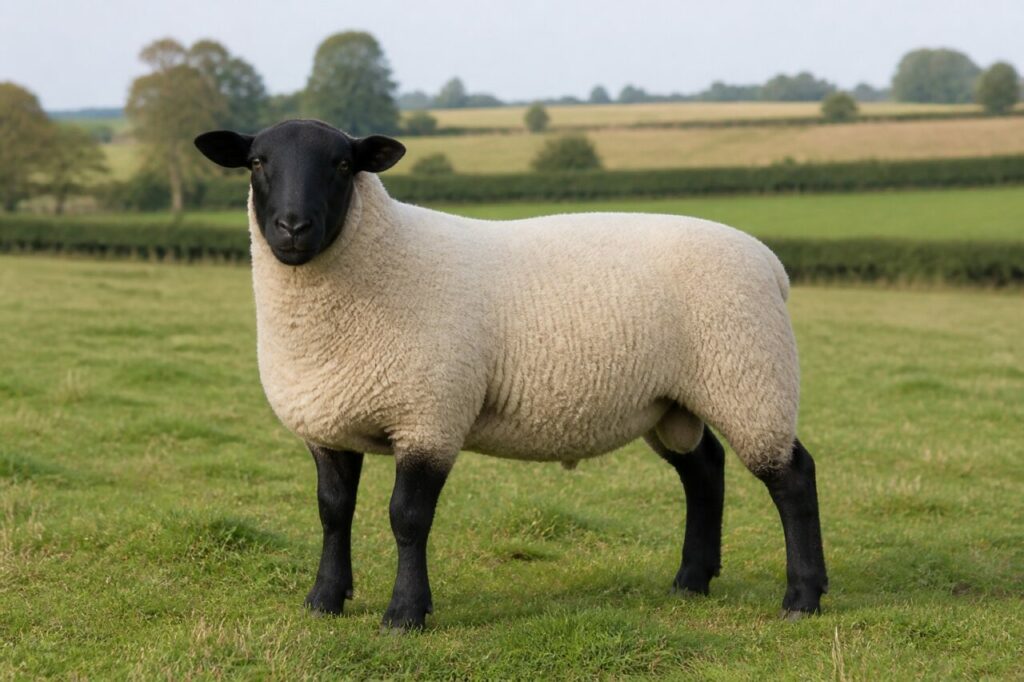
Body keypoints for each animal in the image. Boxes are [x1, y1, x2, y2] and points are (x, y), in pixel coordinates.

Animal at [194, 119, 828, 631]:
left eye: (343, 165)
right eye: (257, 162)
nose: (292, 228)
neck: (381, 260)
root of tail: (770, 262)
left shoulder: (431, 414)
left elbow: (407, 519)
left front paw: (405, 614)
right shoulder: (327, 422)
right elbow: (332, 513)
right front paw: (324, 600)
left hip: (750, 374)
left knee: (792, 478)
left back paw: (802, 597)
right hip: (673, 398)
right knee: (704, 471)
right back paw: (691, 581)